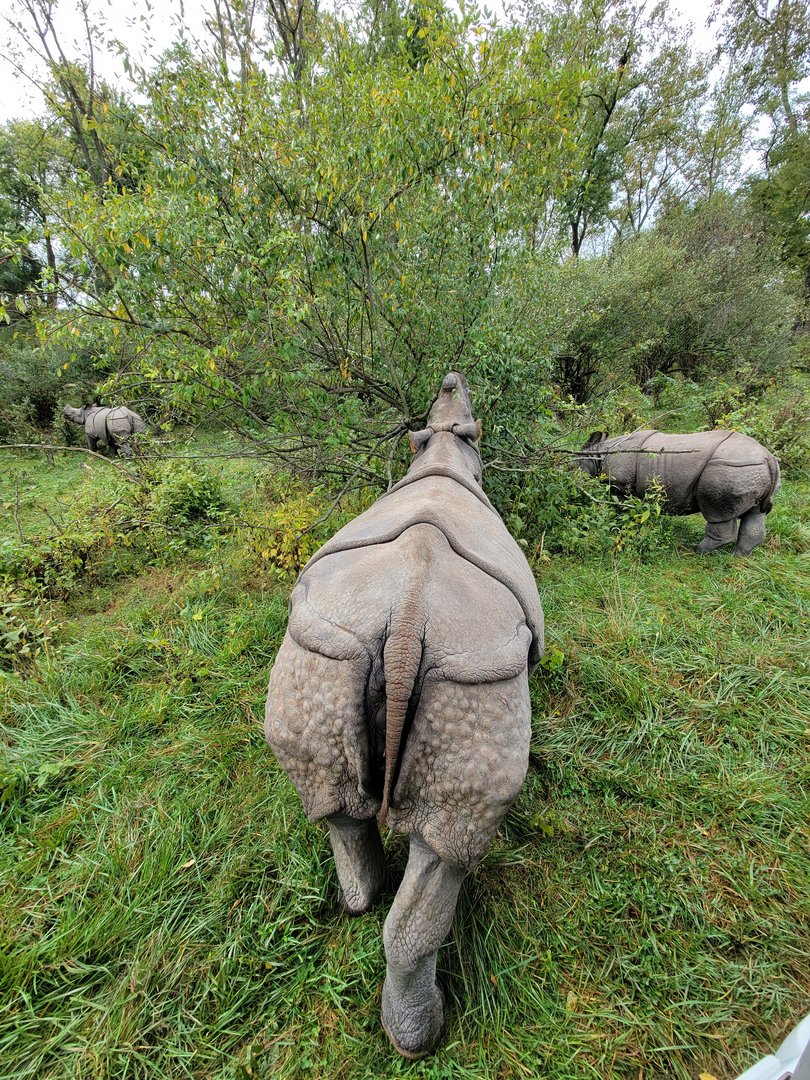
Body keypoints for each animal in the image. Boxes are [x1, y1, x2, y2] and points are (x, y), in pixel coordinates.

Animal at [264, 373, 543, 1059]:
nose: (452, 379)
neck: (442, 447)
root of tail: (409, 617)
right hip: (476, 676)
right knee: (448, 847)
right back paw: (422, 1038)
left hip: (322, 647)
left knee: (334, 797)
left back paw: (358, 903)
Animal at [576, 428, 781, 555]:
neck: (599, 453)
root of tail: (769, 458)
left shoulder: (618, 483)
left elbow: (620, 508)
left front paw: (617, 526)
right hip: (750, 470)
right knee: (755, 513)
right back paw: (738, 556)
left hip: (728, 469)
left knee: (717, 512)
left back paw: (699, 551)